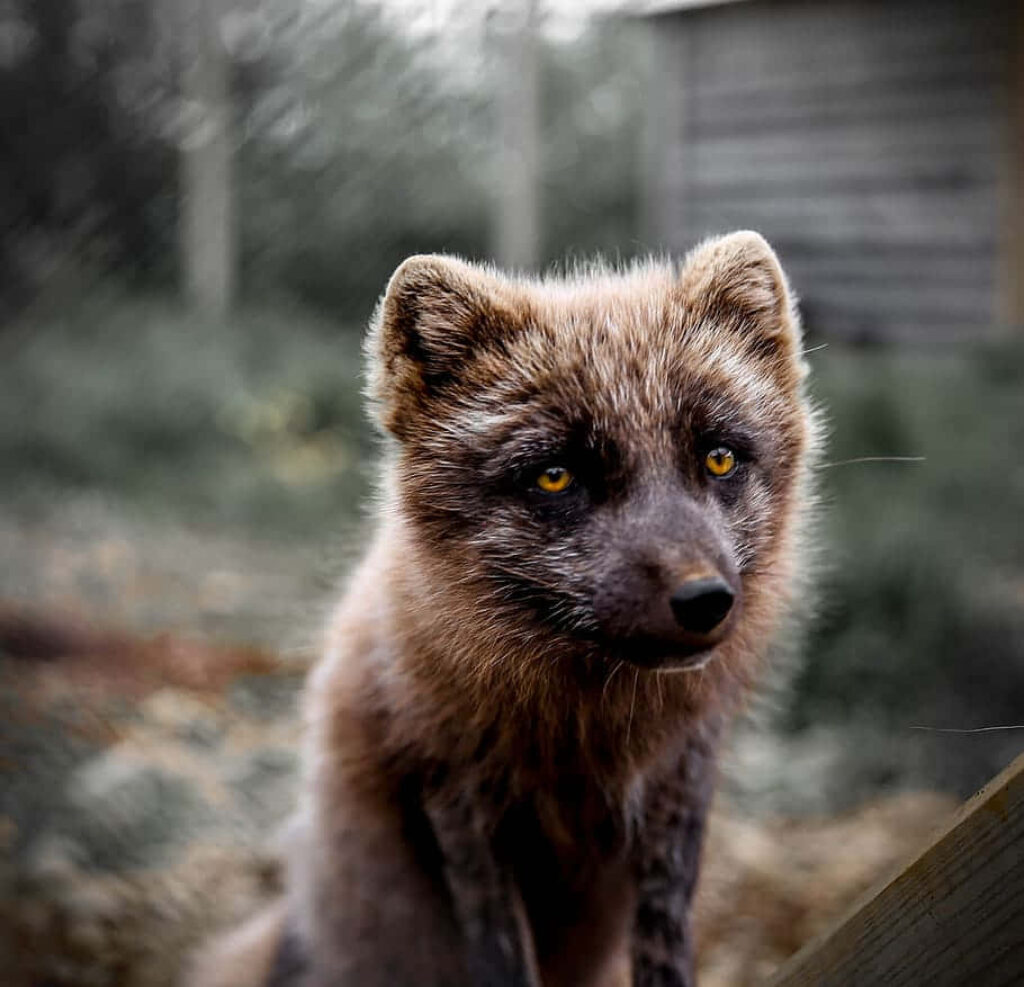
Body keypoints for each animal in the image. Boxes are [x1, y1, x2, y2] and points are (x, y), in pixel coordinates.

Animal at [187, 230, 821, 987]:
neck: (591, 737)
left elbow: (666, 941)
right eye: (556, 476)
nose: (704, 601)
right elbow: (500, 954)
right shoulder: (459, 799)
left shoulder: (682, 783)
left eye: (719, 458)